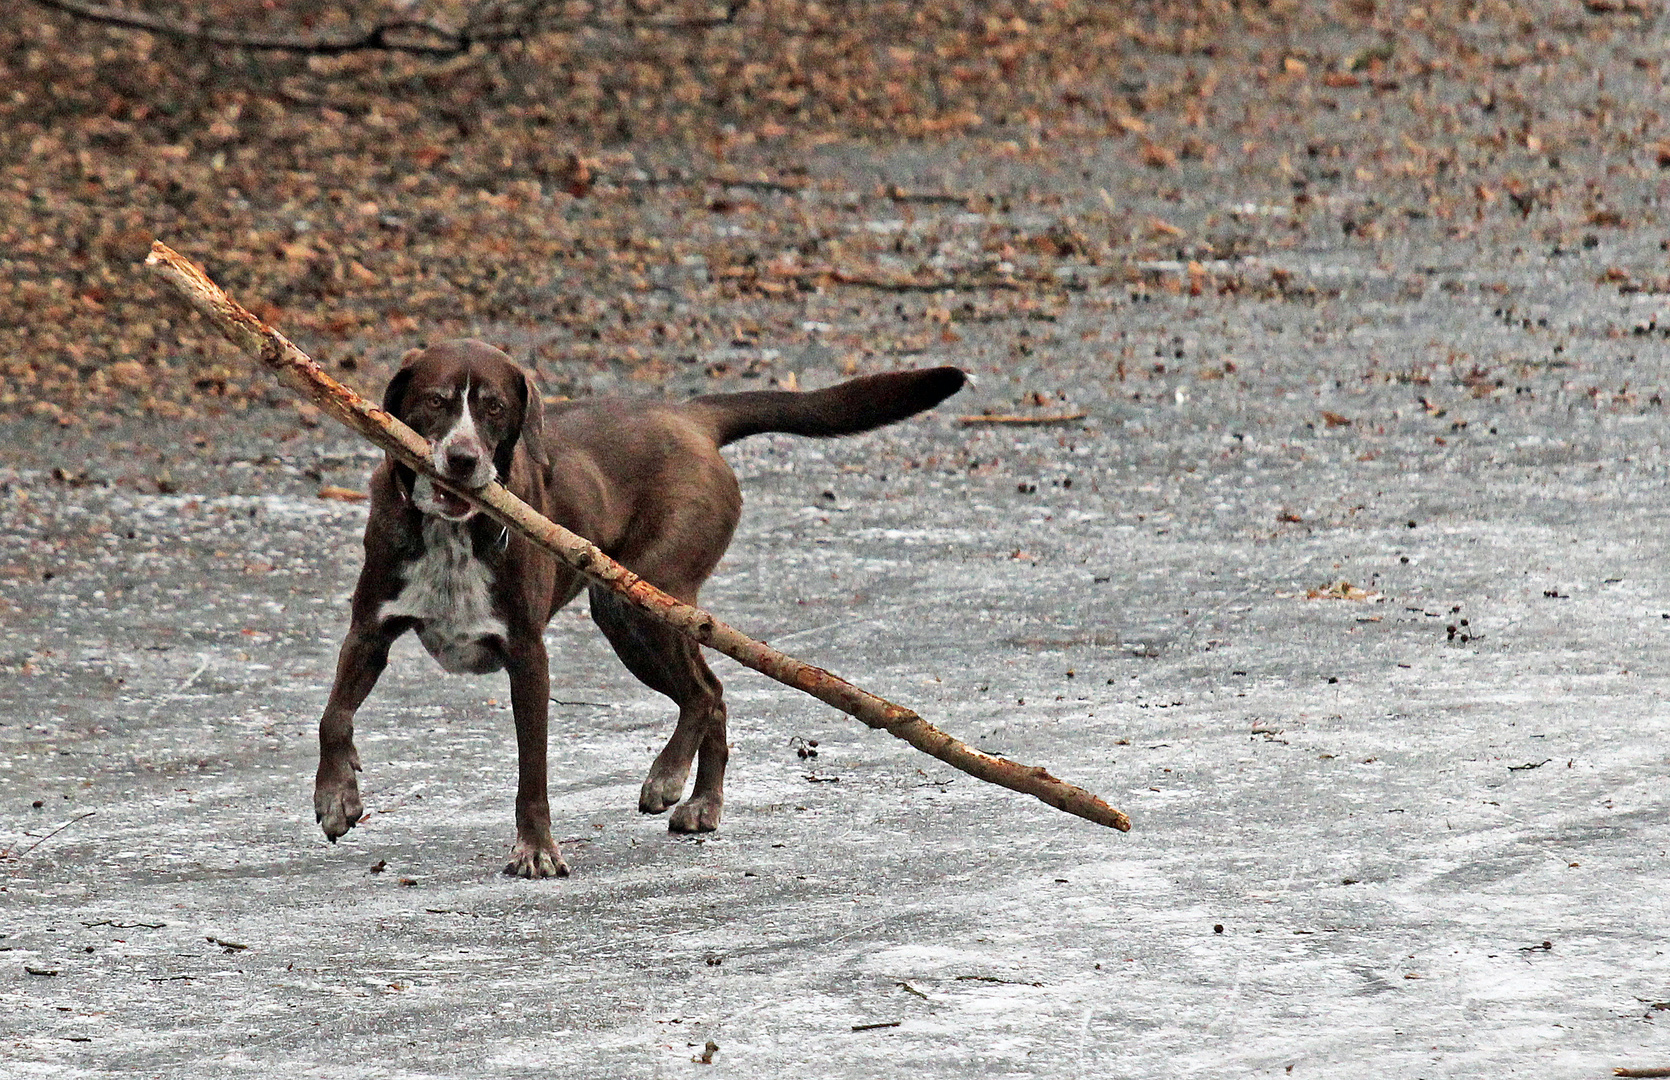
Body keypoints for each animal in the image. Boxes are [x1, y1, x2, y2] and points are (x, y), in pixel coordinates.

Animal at [313, 340, 968, 881]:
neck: (452, 530)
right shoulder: (368, 630)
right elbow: (334, 716)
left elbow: (533, 769)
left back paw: (673, 782)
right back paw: (701, 800)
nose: (464, 459)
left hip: (640, 601)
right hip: (633, 614)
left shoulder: (528, 655)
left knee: (705, 693)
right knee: (712, 693)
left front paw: (537, 850)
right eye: (435, 402)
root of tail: (690, 416)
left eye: (495, 408)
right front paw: (337, 797)